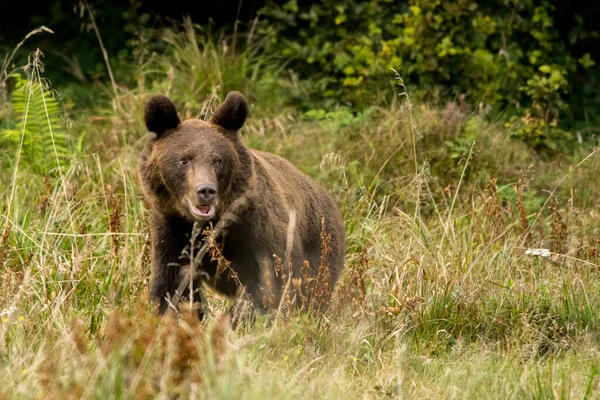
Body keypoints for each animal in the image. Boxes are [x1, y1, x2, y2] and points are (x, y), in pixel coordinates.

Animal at [140, 90, 344, 318]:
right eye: (184, 160)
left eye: (218, 160)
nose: (205, 191)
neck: (213, 223)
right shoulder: (172, 230)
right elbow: (173, 285)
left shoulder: (258, 227)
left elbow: (271, 279)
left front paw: (238, 317)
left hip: (321, 243)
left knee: (313, 289)